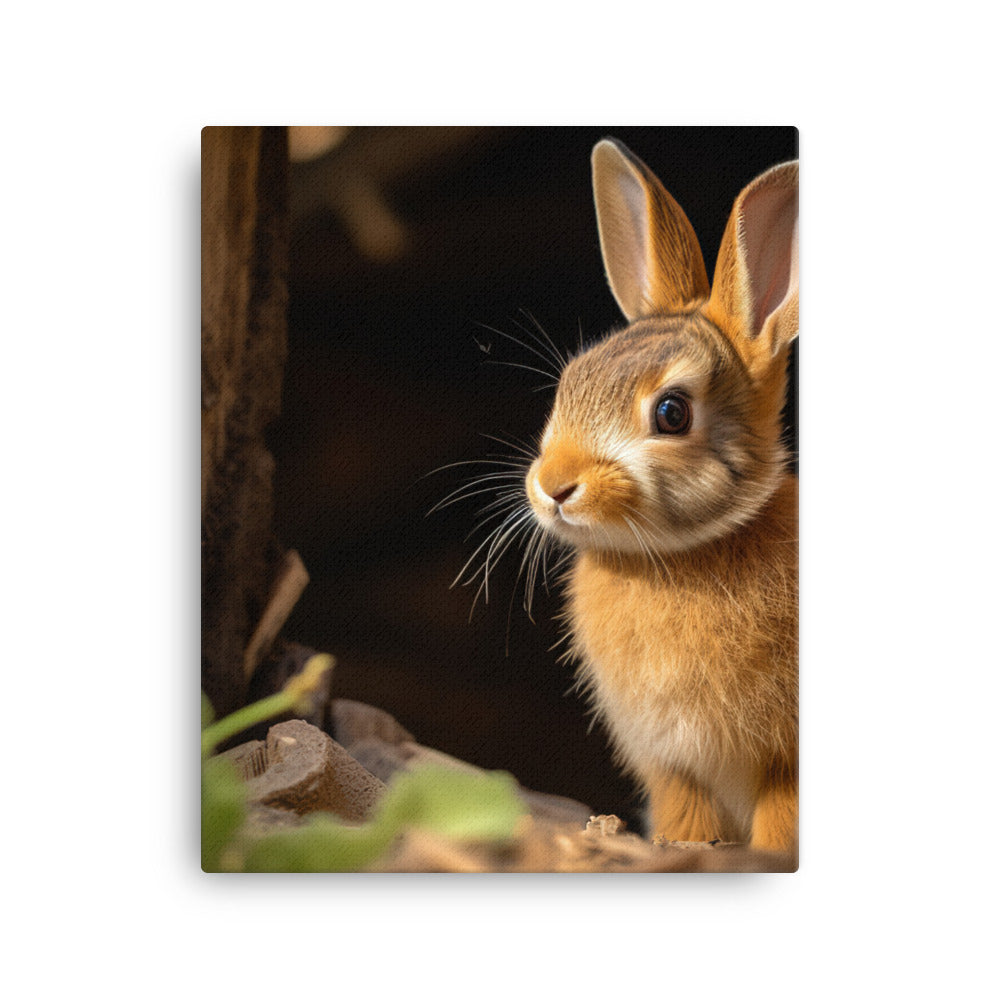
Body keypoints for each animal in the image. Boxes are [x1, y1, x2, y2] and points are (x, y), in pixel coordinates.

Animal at [523, 138, 798, 854]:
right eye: (571, 381)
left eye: (672, 413)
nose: (553, 486)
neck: (678, 556)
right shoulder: (675, 766)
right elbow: (686, 821)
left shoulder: (784, 760)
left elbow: (780, 821)